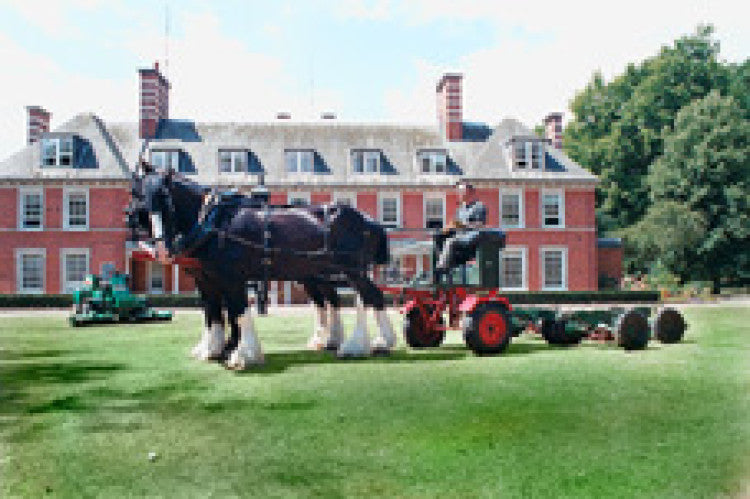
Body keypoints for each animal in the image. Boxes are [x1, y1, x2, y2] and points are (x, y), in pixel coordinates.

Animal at [128, 166, 400, 370]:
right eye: (140, 197)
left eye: (166, 199)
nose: (161, 249)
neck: (213, 222)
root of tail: (367, 220)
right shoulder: (207, 280)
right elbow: (213, 314)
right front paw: (212, 349)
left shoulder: (232, 278)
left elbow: (238, 313)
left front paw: (243, 354)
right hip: (318, 274)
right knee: (339, 300)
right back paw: (334, 341)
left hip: (352, 269)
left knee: (370, 297)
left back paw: (369, 344)